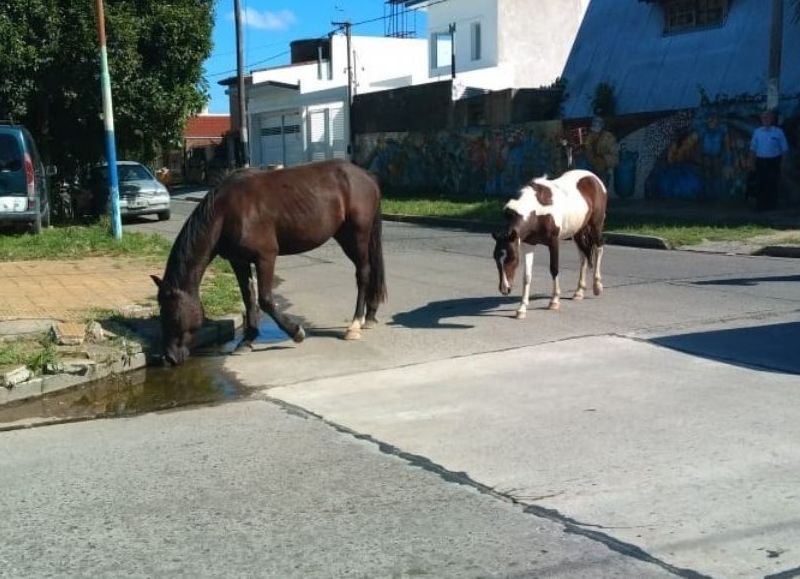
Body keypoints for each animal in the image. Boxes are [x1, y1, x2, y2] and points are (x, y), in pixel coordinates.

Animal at [152, 159, 388, 368]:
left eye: (171, 314)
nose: (169, 358)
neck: (227, 211)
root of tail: (366, 176)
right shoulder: (239, 261)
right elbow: (249, 299)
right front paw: (246, 341)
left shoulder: (265, 257)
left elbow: (265, 300)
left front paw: (296, 332)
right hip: (346, 236)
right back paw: (370, 316)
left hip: (357, 235)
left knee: (363, 273)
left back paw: (354, 325)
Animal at [488, 170, 608, 320]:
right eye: (496, 258)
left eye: (513, 258)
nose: (505, 289)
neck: (537, 210)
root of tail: (593, 178)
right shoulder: (528, 244)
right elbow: (527, 276)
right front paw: (522, 308)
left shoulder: (554, 242)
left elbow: (554, 269)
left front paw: (554, 301)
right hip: (578, 231)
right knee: (583, 257)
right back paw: (579, 292)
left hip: (596, 225)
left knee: (599, 248)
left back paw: (597, 286)